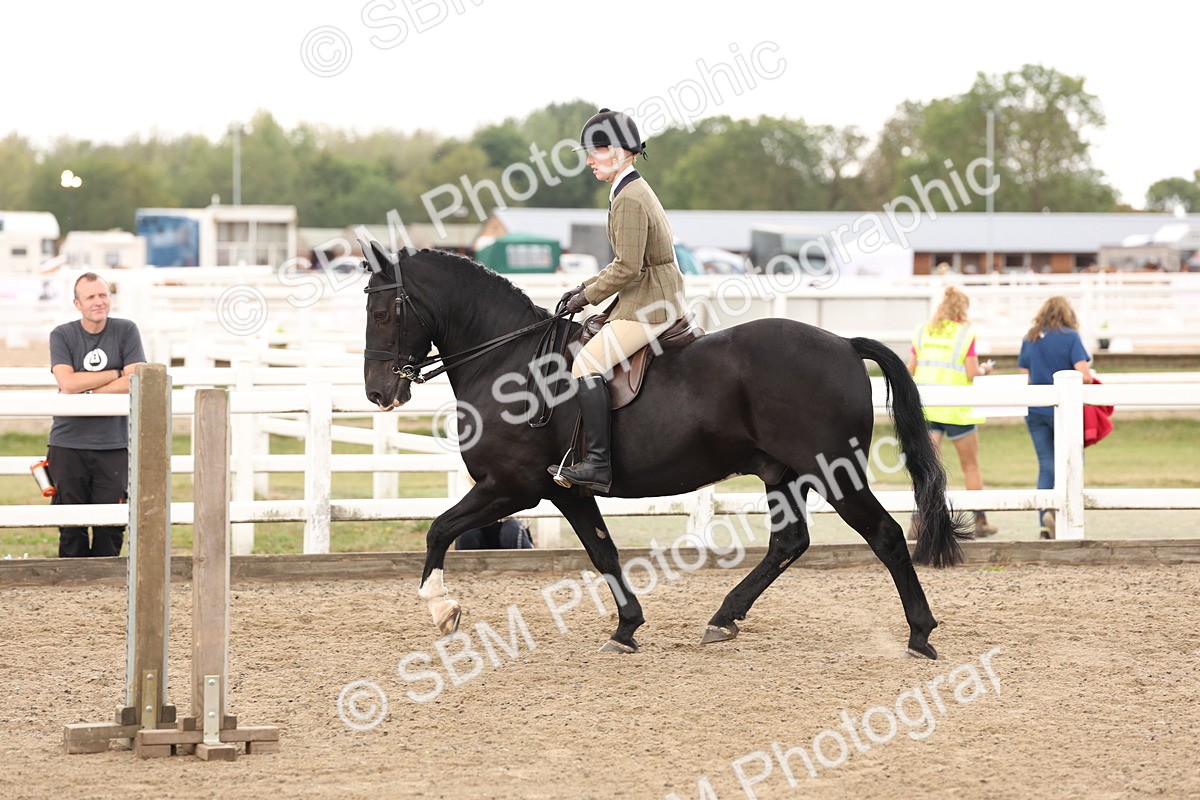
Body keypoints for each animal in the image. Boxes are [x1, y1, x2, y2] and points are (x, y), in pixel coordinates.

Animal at [361, 241, 971, 659]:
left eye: (383, 313)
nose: (379, 393)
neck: (508, 363)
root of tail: (844, 343)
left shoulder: (513, 487)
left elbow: (438, 529)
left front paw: (443, 609)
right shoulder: (566, 492)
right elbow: (603, 552)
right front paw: (627, 627)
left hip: (833, 473)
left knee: (886, 536)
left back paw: (920, 634)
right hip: (782, 474)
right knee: (789, 542)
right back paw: (724, 617)